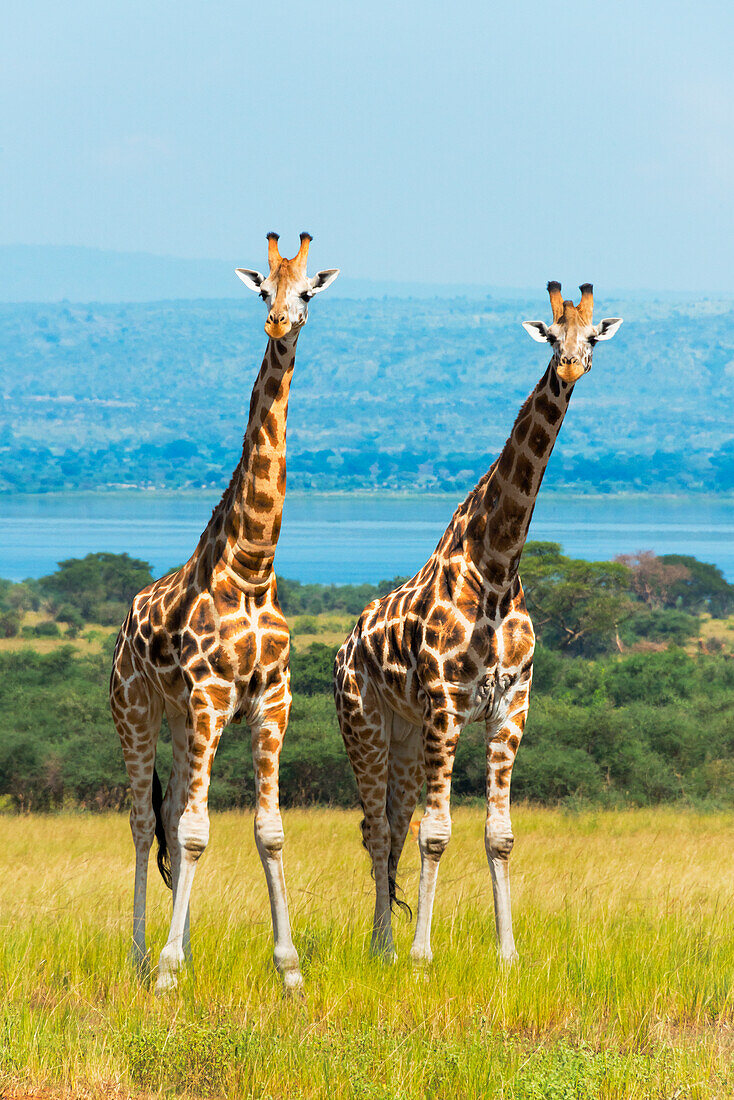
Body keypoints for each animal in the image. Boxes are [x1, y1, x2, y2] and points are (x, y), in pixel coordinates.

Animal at [110, 227, 341, 994]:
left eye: (307, 292)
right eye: (263, 289)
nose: (279, 323)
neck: (252, 568)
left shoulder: (272, 702)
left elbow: (265, 831)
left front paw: (290, 970)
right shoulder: (211, 697)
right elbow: (191, 833)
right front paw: (168, 971)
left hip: (185, 725)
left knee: (175, 812)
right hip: (138, 711)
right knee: (145, 824)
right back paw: (143, 955)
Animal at [336, 281, 625, 963]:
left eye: (592, 336)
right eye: (551, 334)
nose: (571, 366)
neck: (496, 568)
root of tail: (343, 648)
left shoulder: (511, 704)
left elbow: (499, 834)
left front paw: (508, 954)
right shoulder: (446, 701)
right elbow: (437, 832)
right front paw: (421, 956)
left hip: (407, 736)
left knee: (391, 823)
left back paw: (385, 943)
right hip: (366, 725)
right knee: (377, 829)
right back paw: (385, 948)